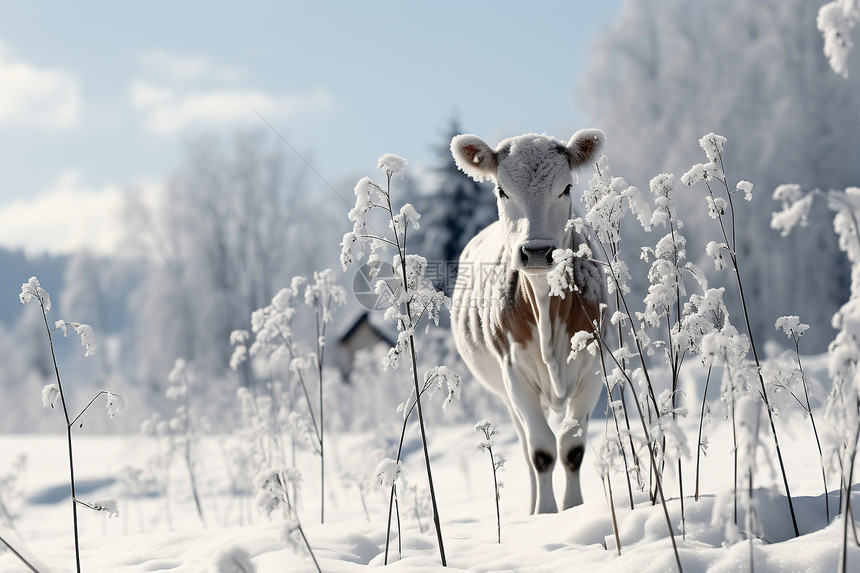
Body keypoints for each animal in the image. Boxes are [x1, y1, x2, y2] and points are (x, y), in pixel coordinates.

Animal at [446, 131, 608, 512]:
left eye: (566, 187)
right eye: (502, 190)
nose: (536, 251)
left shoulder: (593, 366)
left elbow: (572, 448)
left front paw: (573, 509)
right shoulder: (515, 374)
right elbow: (542, 452)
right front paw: (546, 514)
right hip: (506, 394)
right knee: (525, 445)